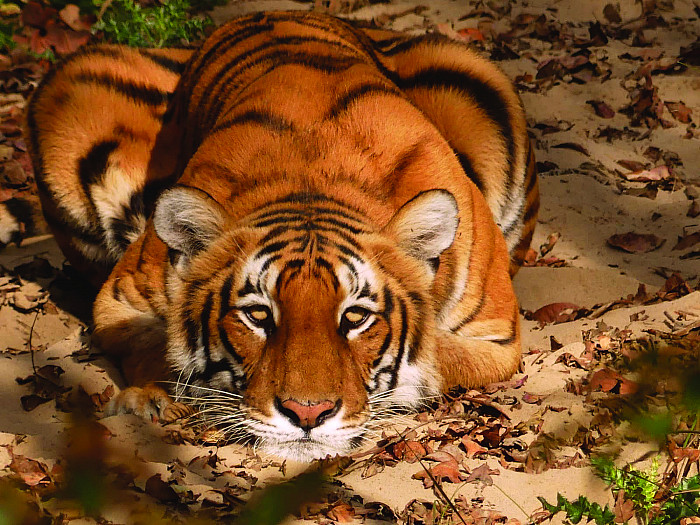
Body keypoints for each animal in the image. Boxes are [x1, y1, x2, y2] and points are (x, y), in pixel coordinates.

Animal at [25, 11, 538, 462]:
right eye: (257, 315)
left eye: (356, 317)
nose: (307, 414)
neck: (313, 181)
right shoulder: (122, 298)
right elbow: (155, 345)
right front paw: (148, 400)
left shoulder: (496, 336)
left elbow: (438, 354)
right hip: (71, 83)